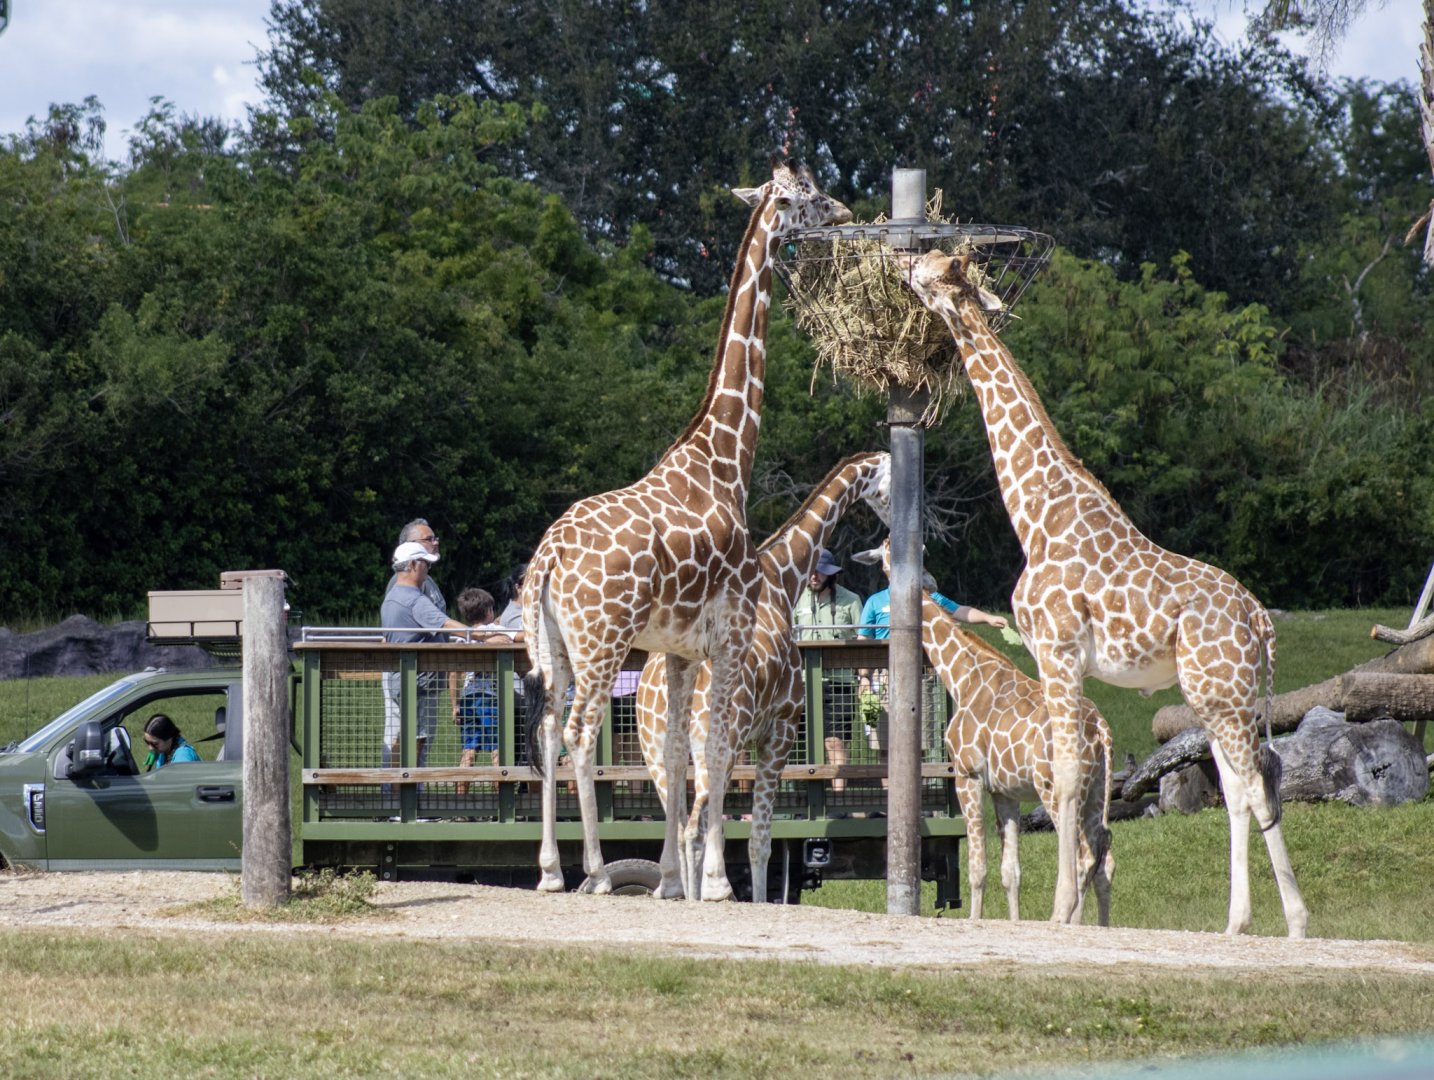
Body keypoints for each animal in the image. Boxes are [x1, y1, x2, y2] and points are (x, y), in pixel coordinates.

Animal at [521, 163, 851, 900]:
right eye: (807, 195)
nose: (844, 213)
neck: (726, 460)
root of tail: (549, 558)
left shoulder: (674, 650)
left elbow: (674, 756)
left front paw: (674, 881)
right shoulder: (730, 634)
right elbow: (719, 752)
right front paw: (718, 886)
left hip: (551, 643)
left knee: (549, 726)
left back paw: (551, 872)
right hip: (602, 642)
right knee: (580, 734)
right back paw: (595, 874)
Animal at [634, 451, 892, 901]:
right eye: (889, 484)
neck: (783, 580)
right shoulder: (781, 728)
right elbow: (760, 840)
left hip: (656, 751)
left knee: (680, 825)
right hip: (716, 743)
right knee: (695, 827)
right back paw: (712, 892)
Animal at [853, 538, 1113, 923]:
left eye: (887, 552)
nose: (928, 582)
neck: (961, 676)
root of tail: (1102, 731)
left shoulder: (967, 773)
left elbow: (977, 868)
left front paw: (974, 920)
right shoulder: (1005, 791)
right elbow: (1011, 872)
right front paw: (1013, 922)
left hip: (1056, 786)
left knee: (1082, 854)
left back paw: (1063, 920)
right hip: (1096, 787)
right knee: (1104, 854)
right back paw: (1097, 926)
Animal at [905, 249, 1308, 937]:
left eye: (934, 271)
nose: (903, 262)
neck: (1034, 513)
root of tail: (1261, 619)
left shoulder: (1057, 648)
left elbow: (1068, 775)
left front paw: (1061, 912)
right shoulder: (1057, 659)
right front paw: (1067, 910)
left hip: (1221, 695)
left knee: (1257, 786)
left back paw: (1298, 922)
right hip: (1222, 697)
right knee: (1239, 788)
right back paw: (1235, 924)